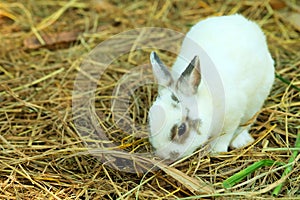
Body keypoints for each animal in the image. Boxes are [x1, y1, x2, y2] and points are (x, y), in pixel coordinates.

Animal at [148, 14, 274, 160]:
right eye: (150, 121)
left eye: (181, 129)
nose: (162, 155)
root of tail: (245, 22)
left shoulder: (232, 117)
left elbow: (225, 136)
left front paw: (216, 151)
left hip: (257, 99)